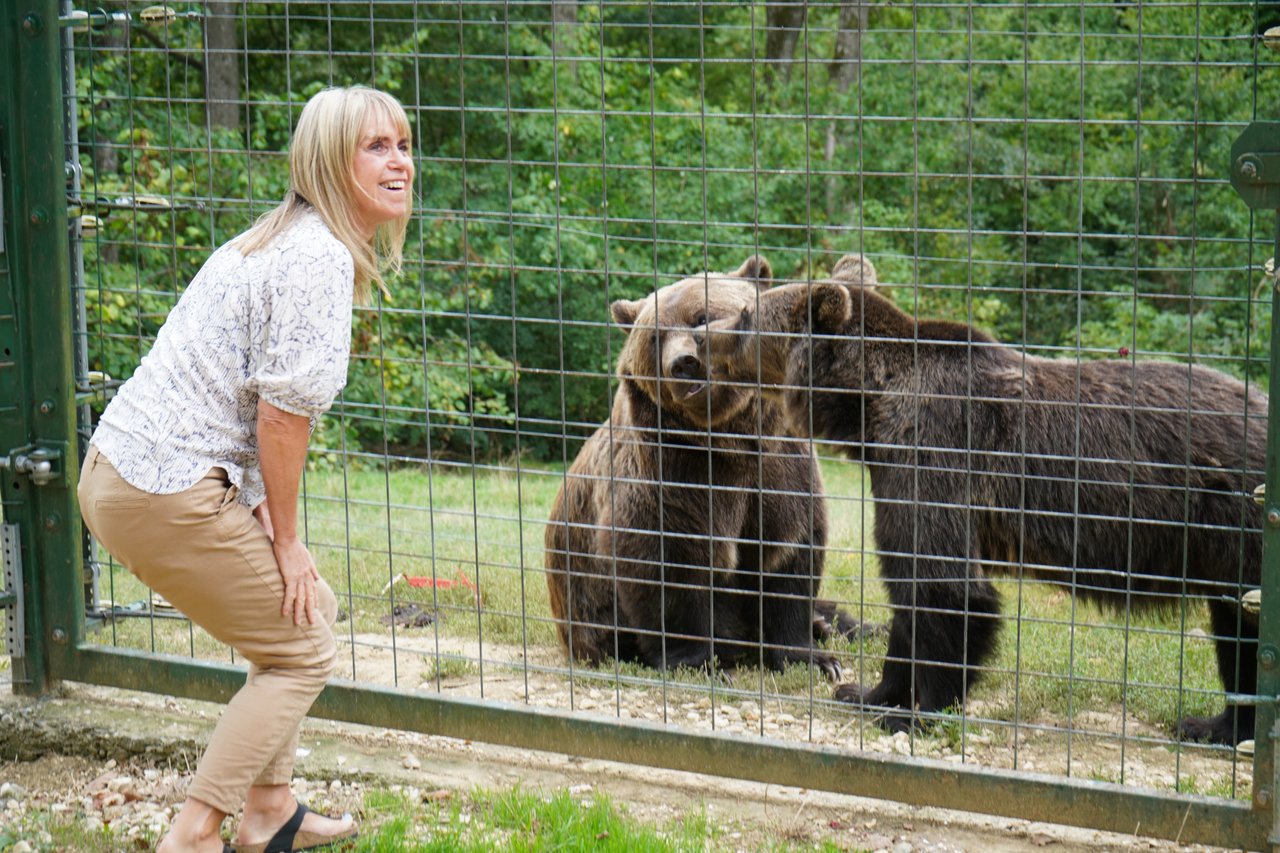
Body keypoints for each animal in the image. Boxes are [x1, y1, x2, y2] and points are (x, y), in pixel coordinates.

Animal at [545, 256, 865, 681]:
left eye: (702, 317)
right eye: (657, 337)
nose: (683, 364)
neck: (731, 442)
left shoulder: (781, 470)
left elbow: (787, 557)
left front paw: (815, 658)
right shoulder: (674, 472)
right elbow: (668, 562)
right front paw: (701, 663)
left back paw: (827, 624)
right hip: (590, 618)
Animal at [706, 249, 1264, 742]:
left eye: (747, 314)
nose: (702, 334)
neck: (872, 410)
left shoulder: (937, 457)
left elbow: (944, 589)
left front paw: (916, 713)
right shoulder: (894, 474)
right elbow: (908, 594)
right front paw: (869, 693)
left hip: (1238, 519)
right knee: (1239, 631)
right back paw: (1217, 725)